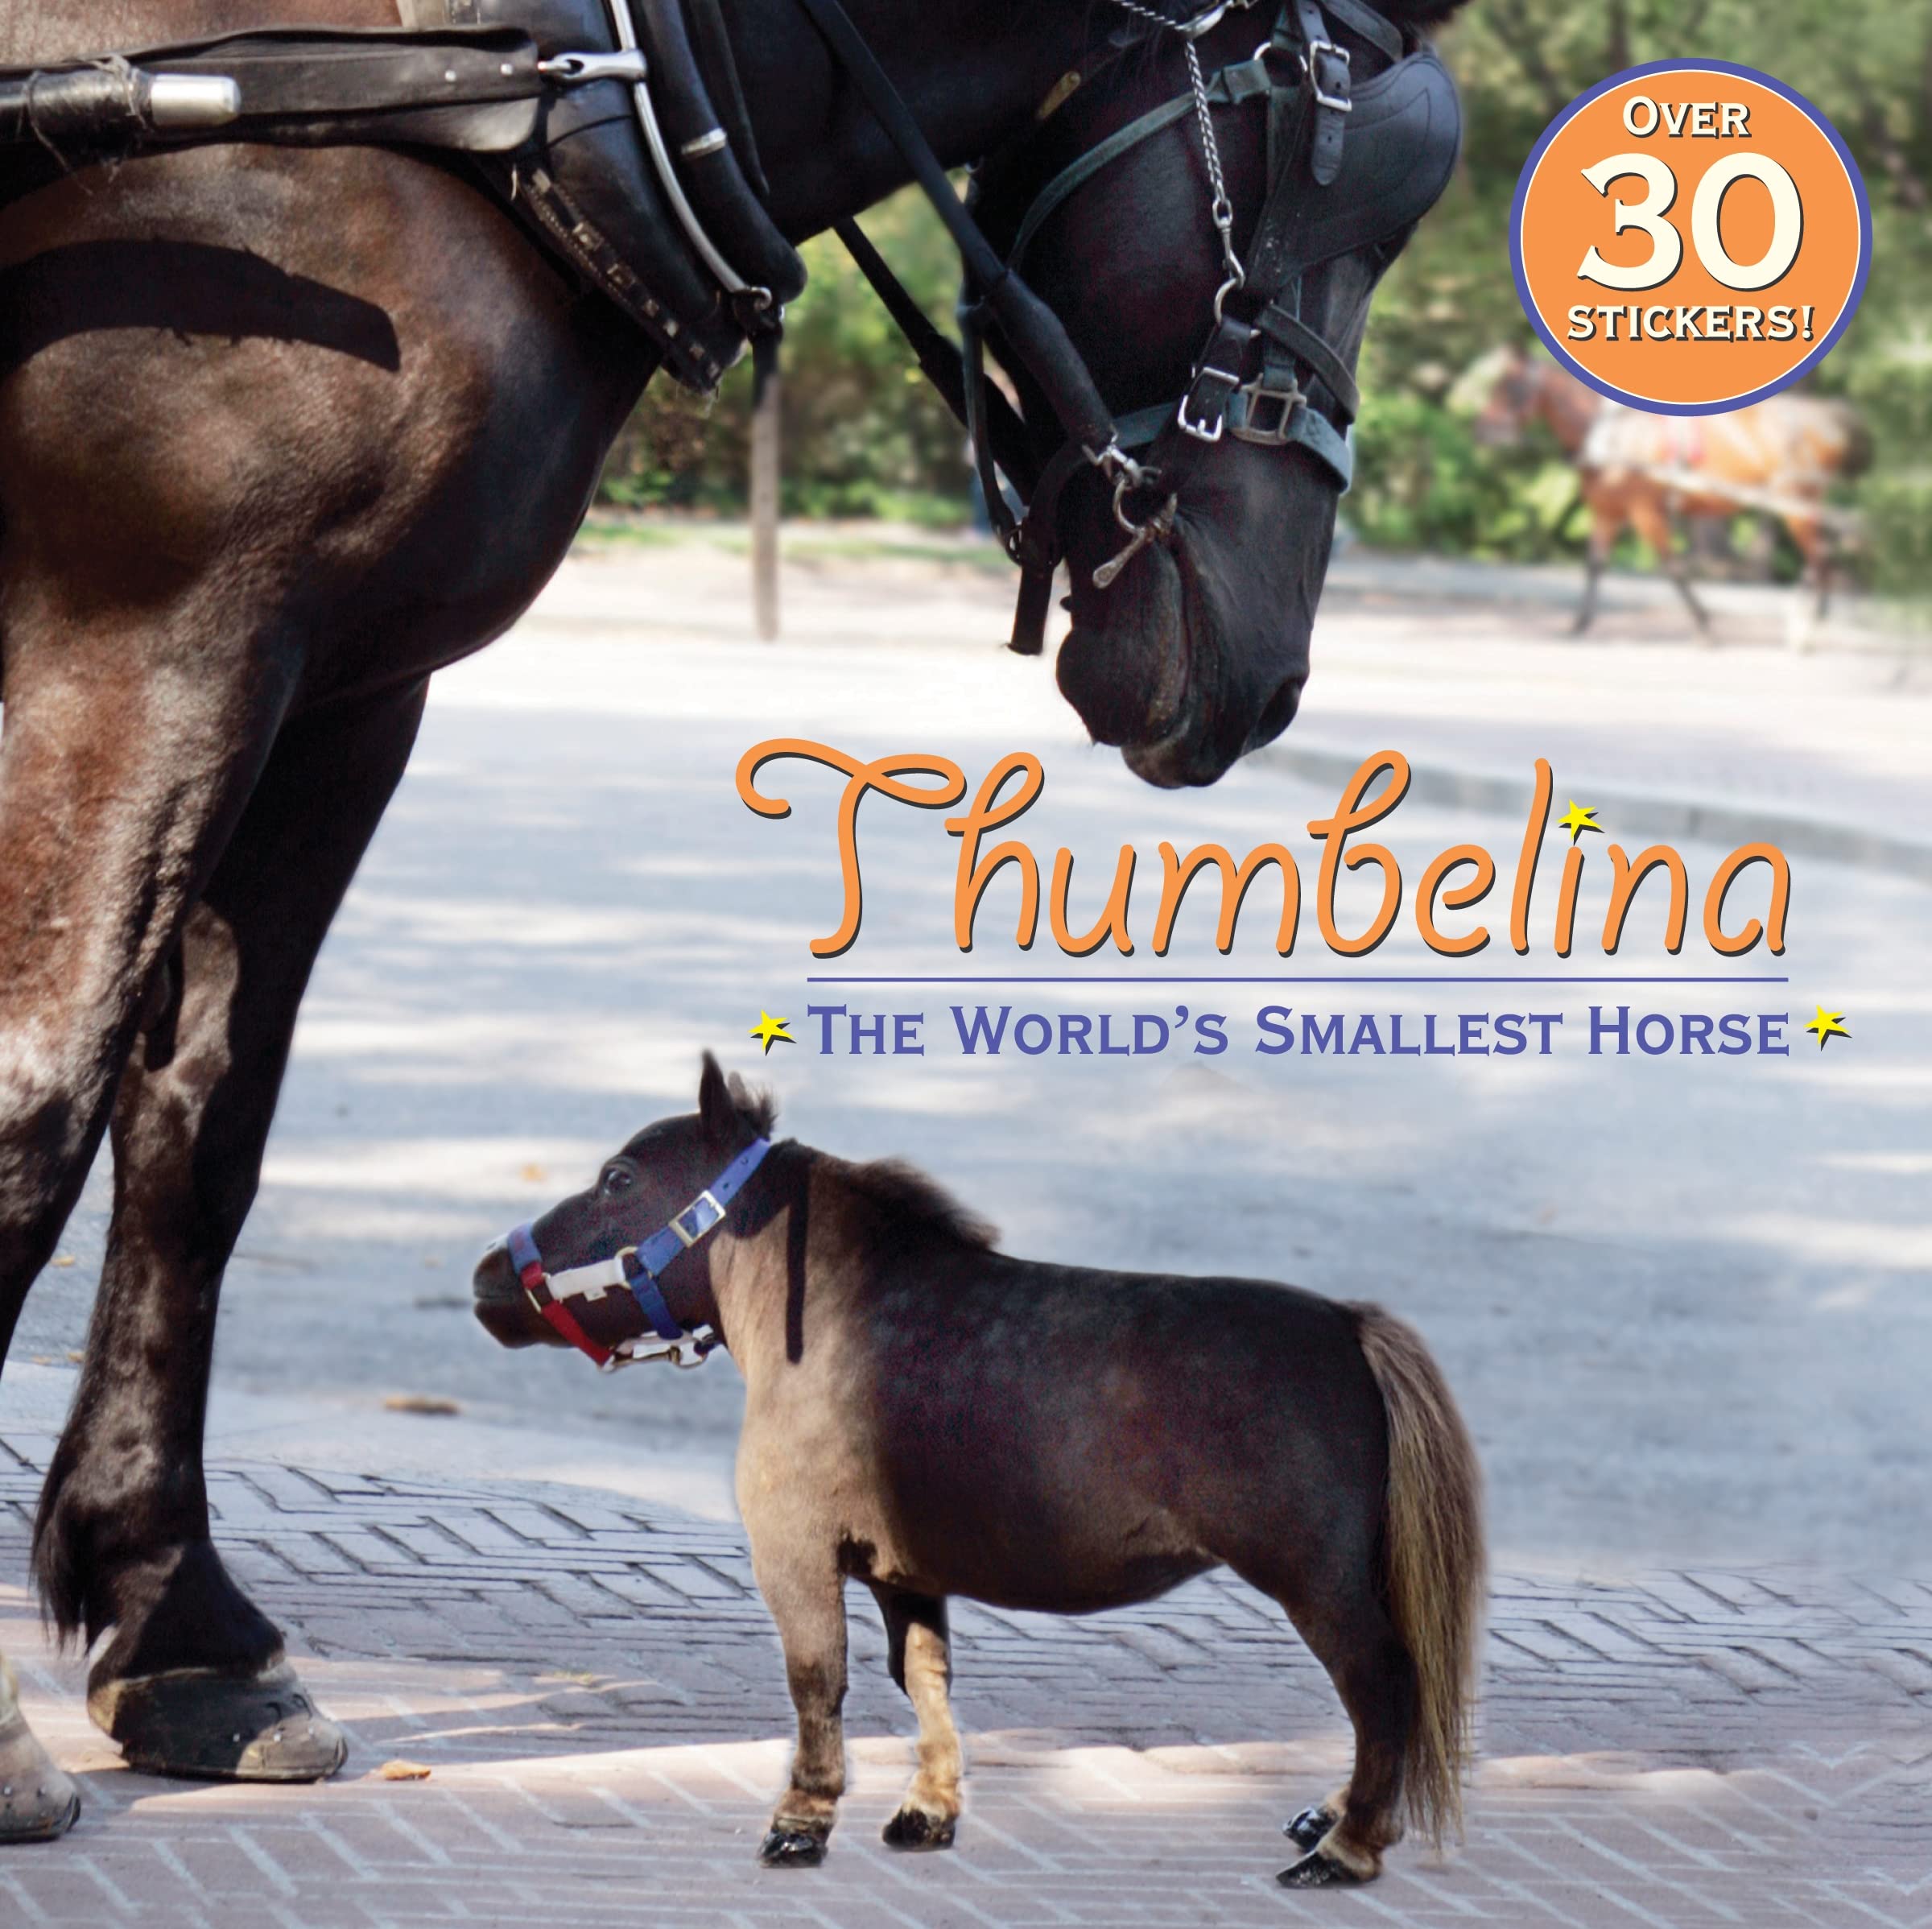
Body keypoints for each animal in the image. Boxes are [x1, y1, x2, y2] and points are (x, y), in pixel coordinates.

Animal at [471, 1054, 1486, 1888]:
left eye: (619, 1178)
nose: (486, 1276)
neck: (839, 1316)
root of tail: (1349, 1327)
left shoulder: (795, 1556)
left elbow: (817, 1681)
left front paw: (802, 1821)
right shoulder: (904, 1572)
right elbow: (923, 1676)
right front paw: (927, 1810)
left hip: (1316, 1579)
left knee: (1382, 1684)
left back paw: (1347, 1844)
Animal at [1467, 344, 1868, 642]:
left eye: (1510, 388)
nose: (1482, 431)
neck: (1611, 437)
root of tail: (1825, 418)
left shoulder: (1646, 512)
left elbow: (1672, 568)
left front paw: (1705, 626)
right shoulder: (1606, 514)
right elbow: (1594, 566)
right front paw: (1580, 624)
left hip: (1796, 502)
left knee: (1819, 558)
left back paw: (1809, 626)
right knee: (1822, 558)